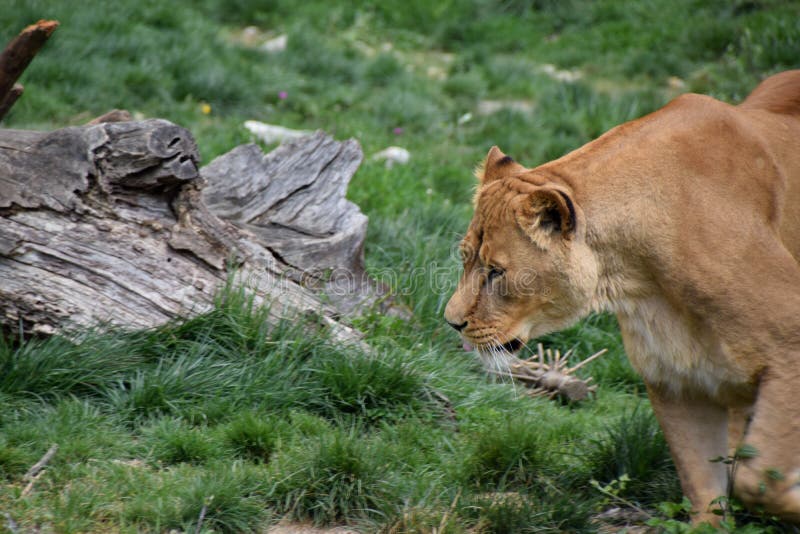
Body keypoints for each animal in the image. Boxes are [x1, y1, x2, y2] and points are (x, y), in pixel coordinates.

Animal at [444, 70, 800, 525]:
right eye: (465, 259)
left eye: (495, 272)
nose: (452, 322)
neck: (638, 279)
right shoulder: (674, 378)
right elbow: (704, 490)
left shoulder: (790, 345)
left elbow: (761, 482)